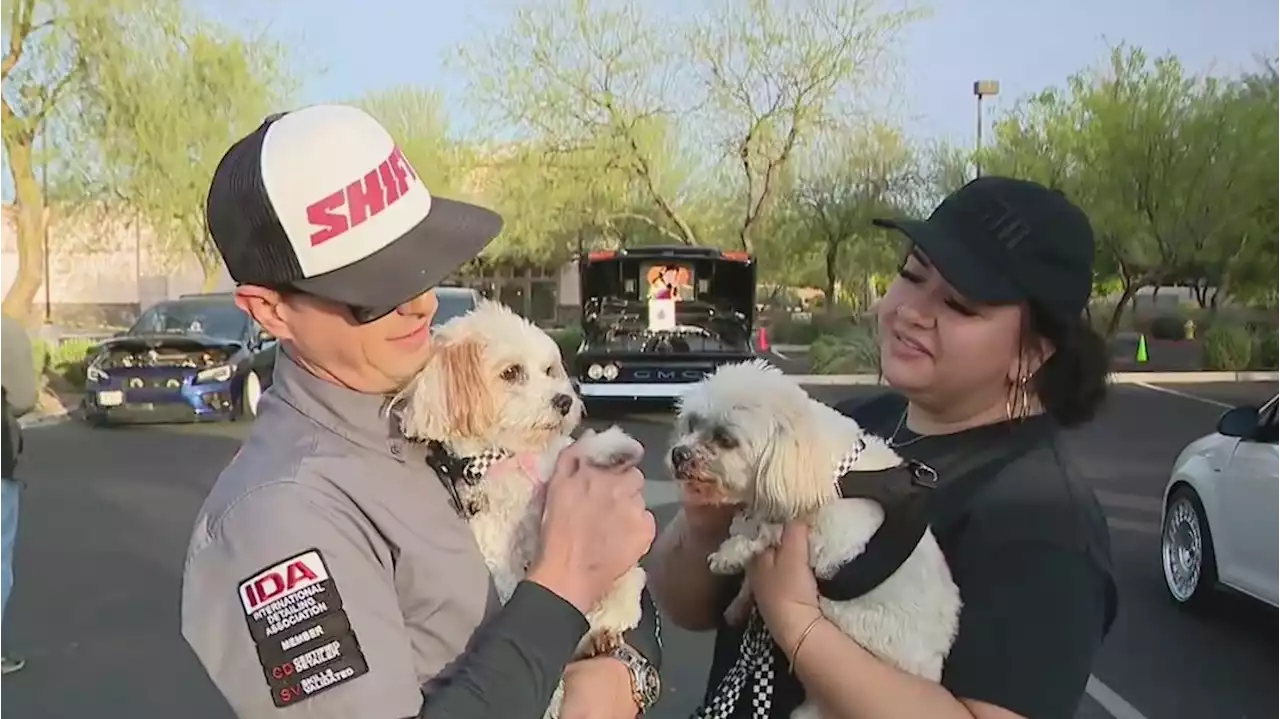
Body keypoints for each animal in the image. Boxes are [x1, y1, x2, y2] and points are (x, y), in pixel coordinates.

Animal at [391, 298, 650, 711]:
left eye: (549, 370)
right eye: (511, 372)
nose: (565, 400)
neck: (505, 458)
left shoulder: (555, 461)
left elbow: (576, 449)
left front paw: (613, 447)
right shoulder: (497, 554)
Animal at [670, 360, 962, 701]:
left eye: (726, 440)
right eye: (692, 424)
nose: (678, 454)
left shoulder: (821, 534)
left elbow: (763, 530)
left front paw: (731, 553)